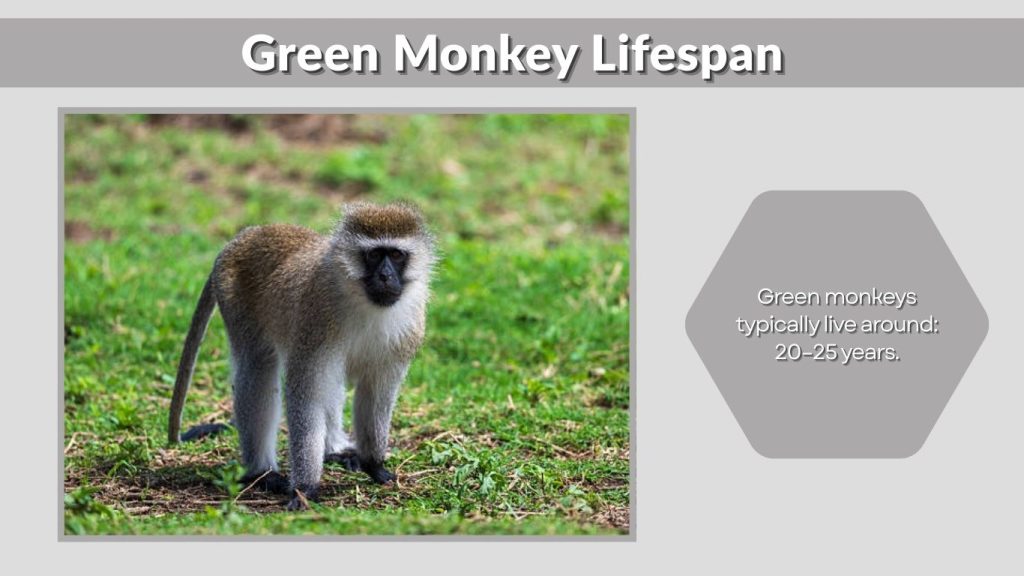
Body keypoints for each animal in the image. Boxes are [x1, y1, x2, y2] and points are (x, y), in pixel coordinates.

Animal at [167, 201, 435, 510]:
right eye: (374, 255)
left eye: (397, 255)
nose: (385, 276)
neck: (364, 302)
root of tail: (246, 236)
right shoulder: (315, 324)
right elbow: (305, 394)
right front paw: (305, 488)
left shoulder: (407, 332)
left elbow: (376, 393)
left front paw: (373, 465)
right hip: (234, 299)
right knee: (258, 370)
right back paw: (262, 473)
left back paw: (334, 449)